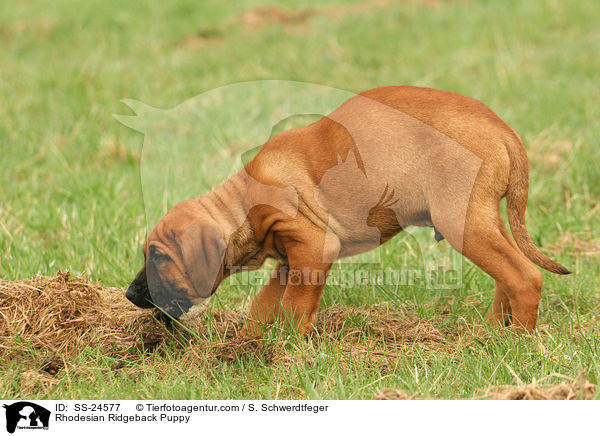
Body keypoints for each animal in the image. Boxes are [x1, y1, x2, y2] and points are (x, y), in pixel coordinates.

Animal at [127, 87, 572, 336]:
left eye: (159, 256)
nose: (130, 295)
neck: (243, 201)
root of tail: (502, 129)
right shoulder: (290, 260)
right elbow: (265, 305)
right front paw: (250, 344)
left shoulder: (313, 248)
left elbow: (293, 308)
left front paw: (286, 350)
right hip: (485, 220)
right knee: (506, 276)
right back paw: (491, 332)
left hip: (463, 222)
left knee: (524, 277)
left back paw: (517, 342)